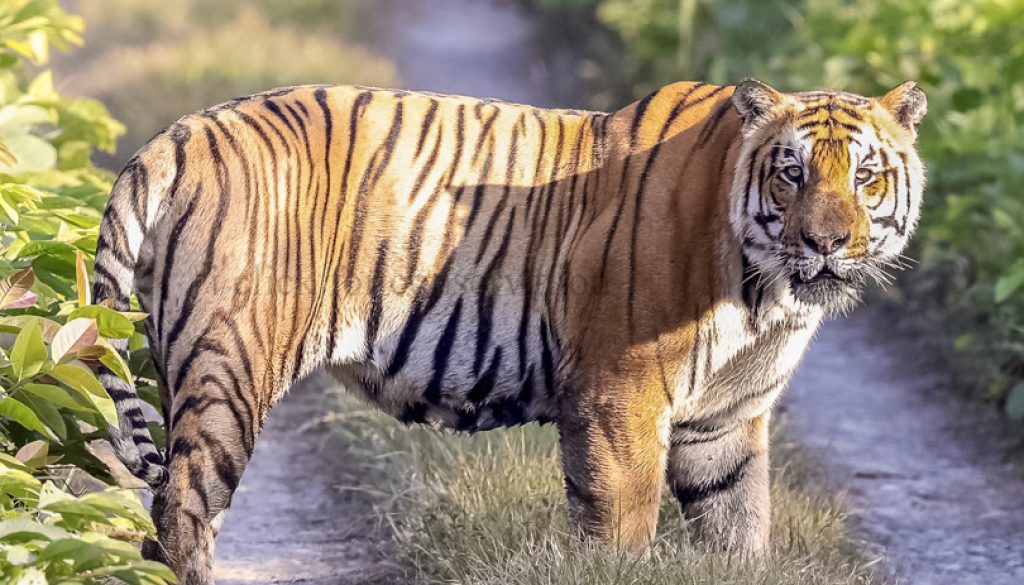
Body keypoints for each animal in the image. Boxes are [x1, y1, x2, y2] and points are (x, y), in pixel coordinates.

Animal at [92, 79, 926, 584]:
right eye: (792, 174)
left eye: (865, 176)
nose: (825, 243)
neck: (767, 296)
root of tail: (179, 133)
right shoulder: (621, 397)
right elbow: (622, 526)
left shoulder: (724, 422)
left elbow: (739, 529)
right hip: (230, 364)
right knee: (182, 508)